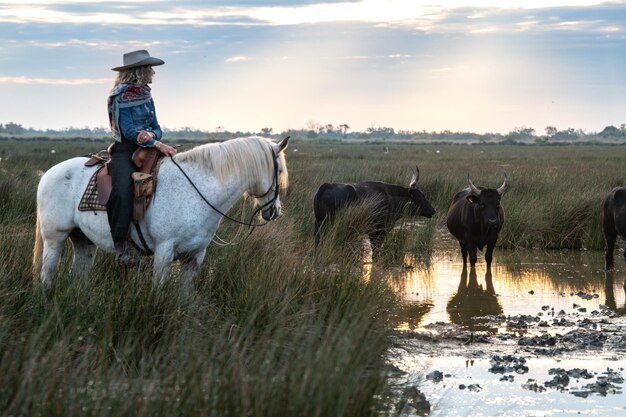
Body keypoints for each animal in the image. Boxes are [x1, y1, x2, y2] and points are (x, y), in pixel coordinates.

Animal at [32, 134, 290, 296]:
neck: (197, 189)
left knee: (78, 275)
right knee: (47, 273)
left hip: (83, 241)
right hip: (55, 238)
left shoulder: (194, 257)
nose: (274, 211)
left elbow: (186, 298)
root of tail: (49, 173)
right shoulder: (164, 253)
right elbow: (158, 293)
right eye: (279, 170)